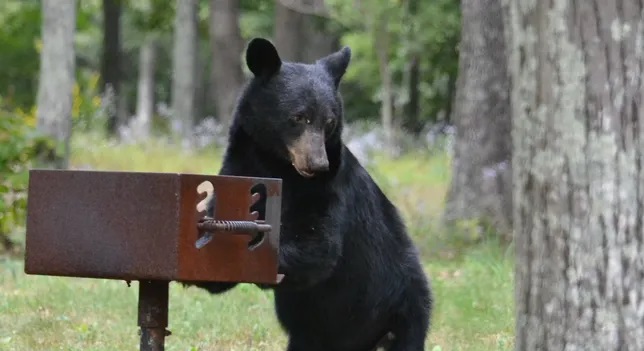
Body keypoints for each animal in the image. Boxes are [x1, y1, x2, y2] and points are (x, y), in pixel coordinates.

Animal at [192, 38, 432, 351]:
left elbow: (318, 245)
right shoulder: (239, 169)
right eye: (299, 117)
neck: (275, 164)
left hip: (404, 306)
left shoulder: (328, 189)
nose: (318, 164)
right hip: (308, 336)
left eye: (329, 121)